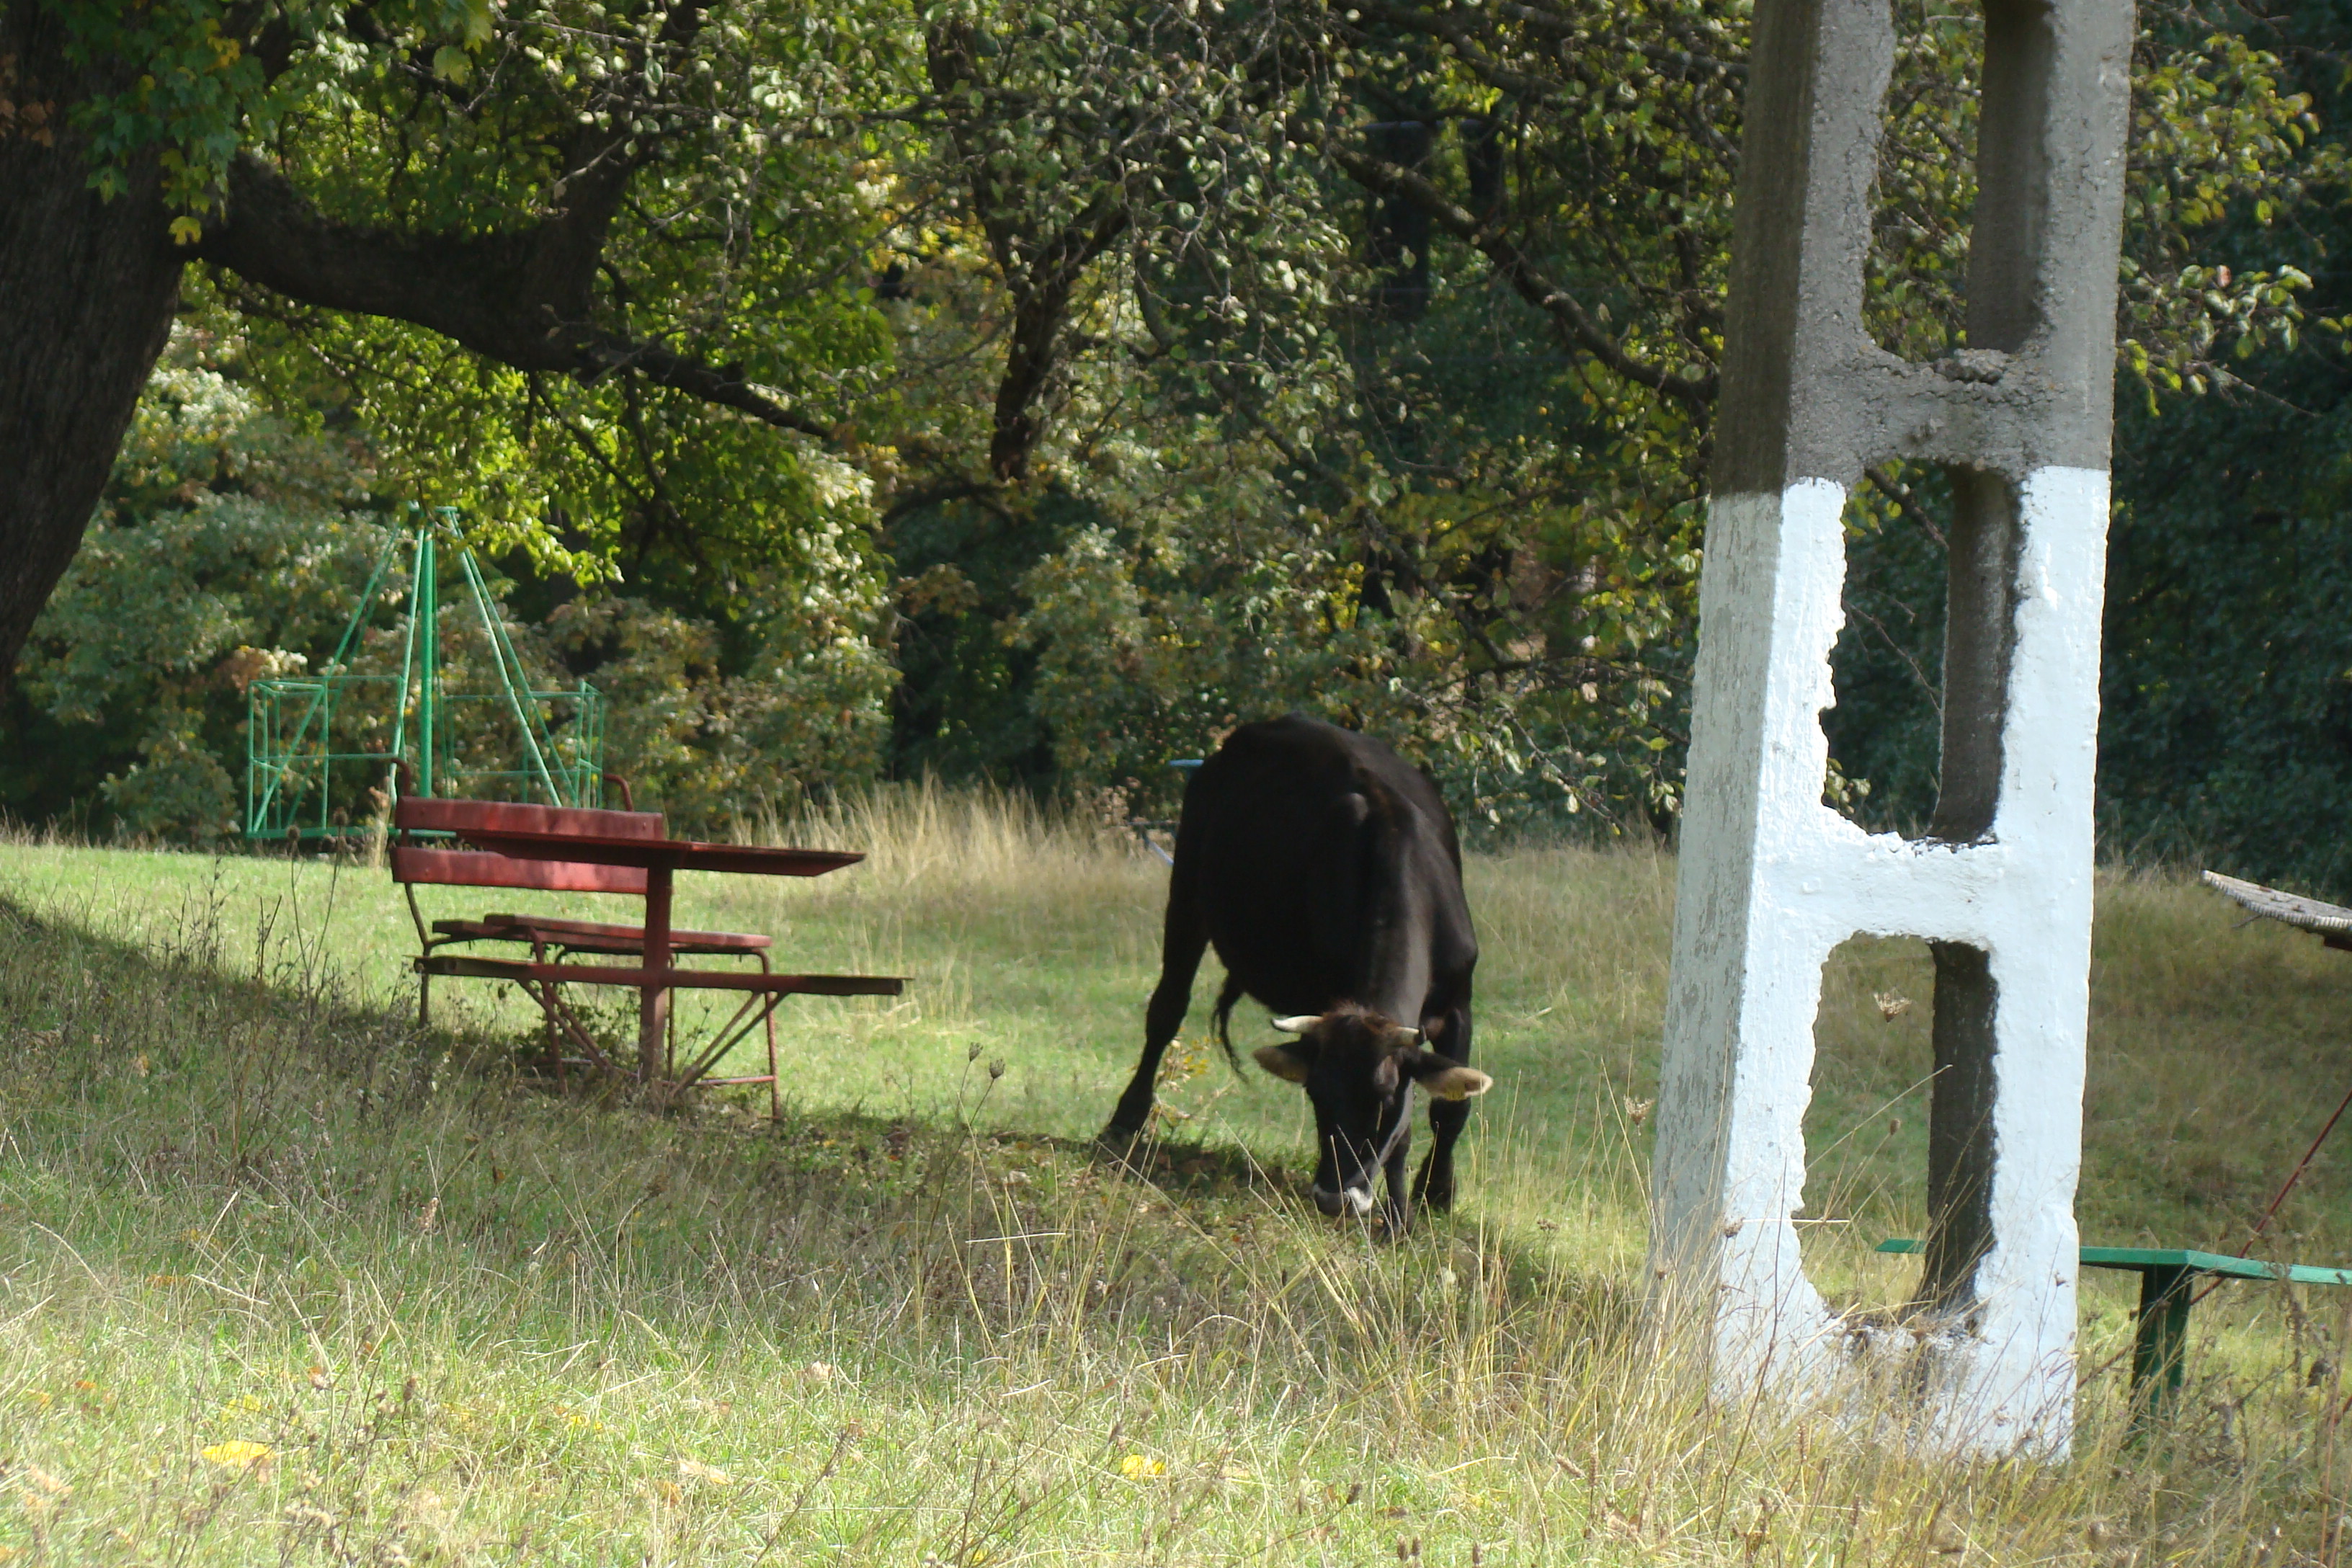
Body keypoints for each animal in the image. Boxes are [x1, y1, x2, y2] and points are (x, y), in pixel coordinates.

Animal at [1105, 719, 1486, 1231]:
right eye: (1316, 1096)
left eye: (1385, 1099)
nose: (1334, 1196)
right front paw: (1400, 1213)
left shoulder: (1458, 1001)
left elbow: (1451, 1108)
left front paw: (1434, 1193)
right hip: (1186, 889)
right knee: (1166, 1009)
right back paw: (1126, 1117)